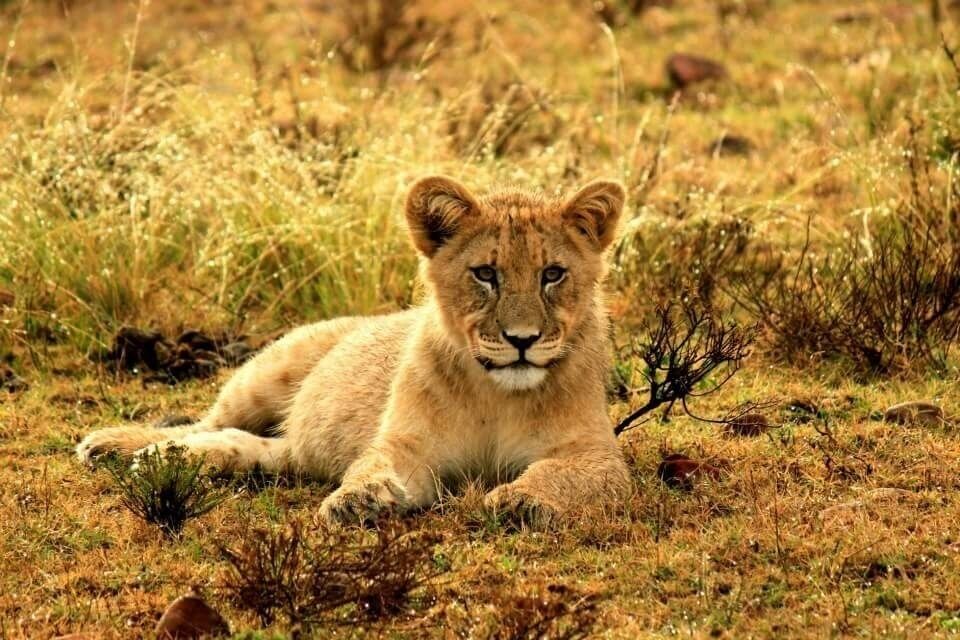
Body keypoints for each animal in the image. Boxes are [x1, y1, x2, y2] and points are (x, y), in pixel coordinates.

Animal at [76, 176, 631, 526]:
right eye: (485, 274)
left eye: (552, 274)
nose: (522, 340)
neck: (497, 393)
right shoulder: (407, 445)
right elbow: (372, 465)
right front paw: (357, 501)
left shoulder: (597, 457)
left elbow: (558, 475)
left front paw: (521, 500)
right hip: (268, 370)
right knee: (205, 422)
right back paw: (121, 446)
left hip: (288, 448)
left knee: (250, 445)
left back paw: (168, 458)